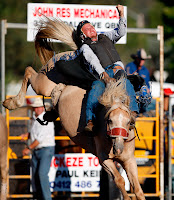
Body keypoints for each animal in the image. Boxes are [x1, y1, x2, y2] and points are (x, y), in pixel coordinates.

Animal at [2, 18, 145, 199]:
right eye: (109, 120)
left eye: (128, 122)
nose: (118, 148)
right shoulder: (104, 158)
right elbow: (119, 180)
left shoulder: (129, 159)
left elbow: (137, 188)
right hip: (44, 83)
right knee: (28, 72)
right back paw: (11, 103)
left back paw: (47, 115)